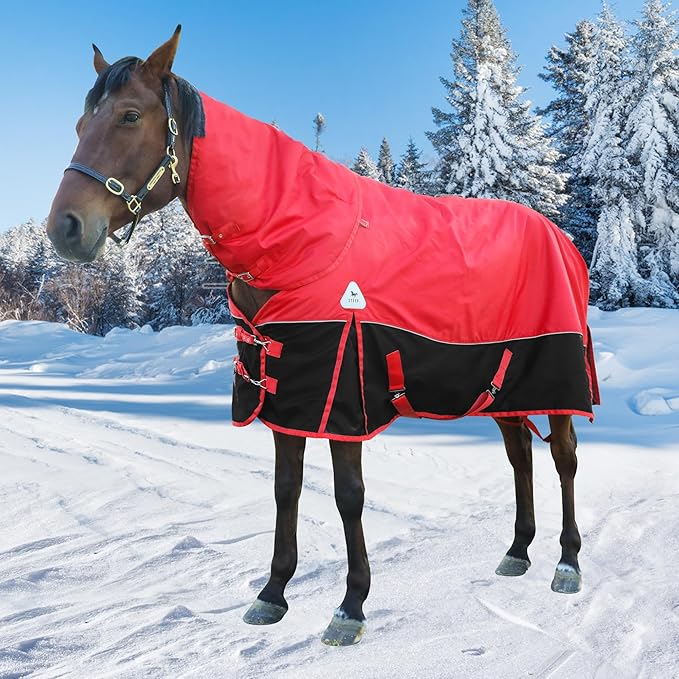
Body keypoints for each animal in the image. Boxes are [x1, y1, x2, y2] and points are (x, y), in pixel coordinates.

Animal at [46, 27, 599, 646]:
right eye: (79, 124)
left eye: (130, 116)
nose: (64, 227)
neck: (300, 240)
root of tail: (561, 239)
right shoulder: (287, 394)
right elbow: (286, 488)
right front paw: (273, 593)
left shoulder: (341, 395)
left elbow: (347, 496)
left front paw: (351, 606)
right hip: (502, 383)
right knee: (519, 456)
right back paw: (518, 550)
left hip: (556, 380)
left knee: (564, 460)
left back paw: (567, 562)